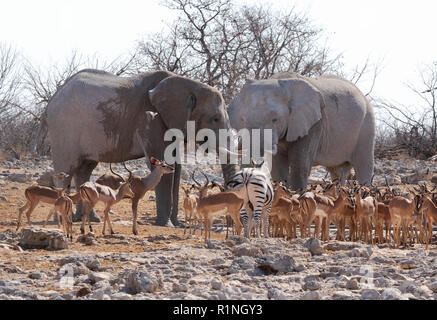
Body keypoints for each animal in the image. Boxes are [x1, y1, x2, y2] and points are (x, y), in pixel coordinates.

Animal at [46, 69, 233, 226]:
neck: (187, 84)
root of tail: (55, 96)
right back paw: (63, 218)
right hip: (63, 129)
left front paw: (177, 224)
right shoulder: (150, 120)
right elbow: (162, 162)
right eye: (215, 118)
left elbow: (176, 167)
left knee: (84, 169)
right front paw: (166, 224)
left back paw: (90, 219)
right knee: (66, 171)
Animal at [225, 71, 374, 189]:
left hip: (367, 125)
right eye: (243, 120)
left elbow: (300, 165)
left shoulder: (314, 124)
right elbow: (278, 167)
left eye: (275, 119)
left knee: (363, 168)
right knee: (338, 172)